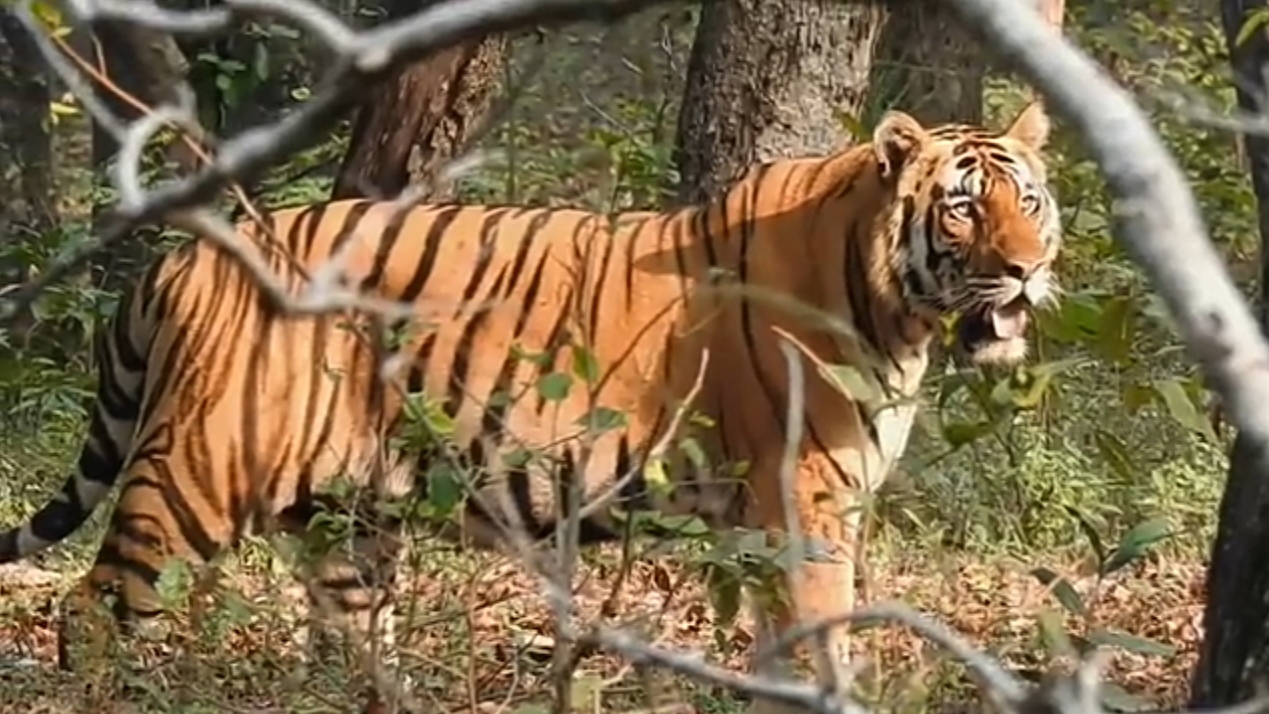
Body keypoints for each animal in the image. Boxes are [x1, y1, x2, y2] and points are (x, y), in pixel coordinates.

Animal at [0, 100, 1055, 710]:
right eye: (962, 206)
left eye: (1030, 202)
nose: (1025, 269)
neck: (895, 309)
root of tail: (186, 256)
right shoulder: (805, 503)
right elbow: (820, 637)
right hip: (198, 473)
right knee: (95, 609)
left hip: (345, 518)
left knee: (345, 639)